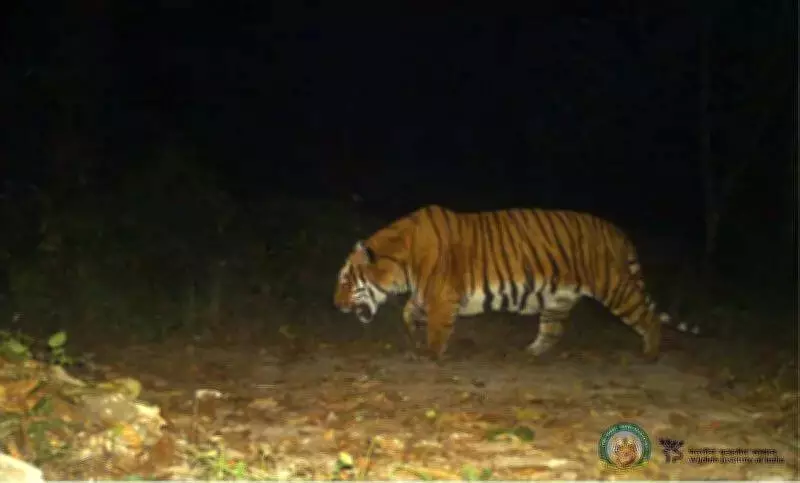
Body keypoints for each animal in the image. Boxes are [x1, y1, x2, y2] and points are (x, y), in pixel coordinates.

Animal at [333, 204, 700, 361]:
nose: (336, 305)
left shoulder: (442, 296)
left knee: (648, 318)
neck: (400, 262)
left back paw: (650, 354)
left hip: (614, 287)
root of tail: (618, 231)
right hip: (558, 298)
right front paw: (413, 334)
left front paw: (430, 353)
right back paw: (530, 352)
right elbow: (408, 312)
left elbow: (437, 330)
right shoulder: (426, 294)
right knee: (552, 330)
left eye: (346, 280)